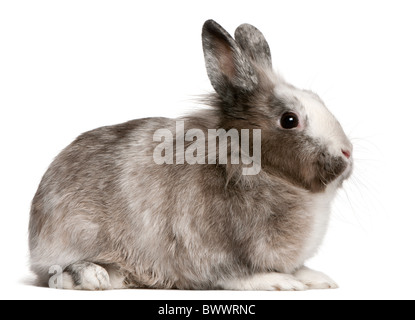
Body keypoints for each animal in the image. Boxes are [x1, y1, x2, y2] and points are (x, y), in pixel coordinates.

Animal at [29, 19, 354, 290]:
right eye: (289, 119)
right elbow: (237, 275)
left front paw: (318, 279)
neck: (251, 162)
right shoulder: (211, 251)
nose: (348, 151)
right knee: (54, 274)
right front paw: (281, 282)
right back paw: (92, 277)